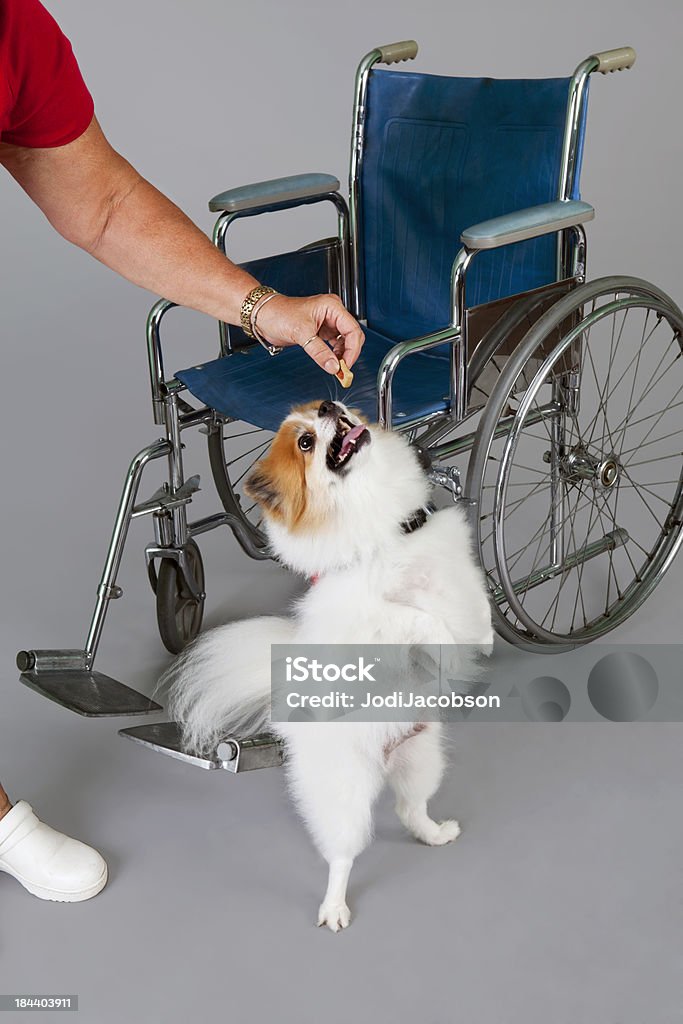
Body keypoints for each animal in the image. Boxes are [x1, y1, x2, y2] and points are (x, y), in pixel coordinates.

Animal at [167, 397, 493, 929]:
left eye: (328, 407)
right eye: (305, 442)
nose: (328, 403)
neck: (387, 529)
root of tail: (385, 755)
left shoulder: (460, 570)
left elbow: (479, 604)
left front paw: (483, 639)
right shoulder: (374, 616)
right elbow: (421, 619)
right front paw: (447, 647)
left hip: (422, 759)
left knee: (409, 809)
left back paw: (435, 833)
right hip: (345, 792)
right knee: (342, 853)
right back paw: (334, 908)